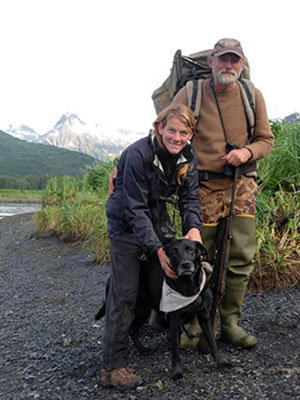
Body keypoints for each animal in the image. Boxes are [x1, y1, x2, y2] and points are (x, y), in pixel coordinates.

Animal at [96, 239, 230, 380]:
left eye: (190, 250)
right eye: (174, 253)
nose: (186, 264)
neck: (188, 286)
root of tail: (111, 277)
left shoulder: (204, 316)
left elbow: (212, 341)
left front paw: (221, 361)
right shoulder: (174, 322)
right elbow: (175, 351)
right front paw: (177, 371)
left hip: (143, 312)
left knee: (132, 330)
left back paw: (142, 349)